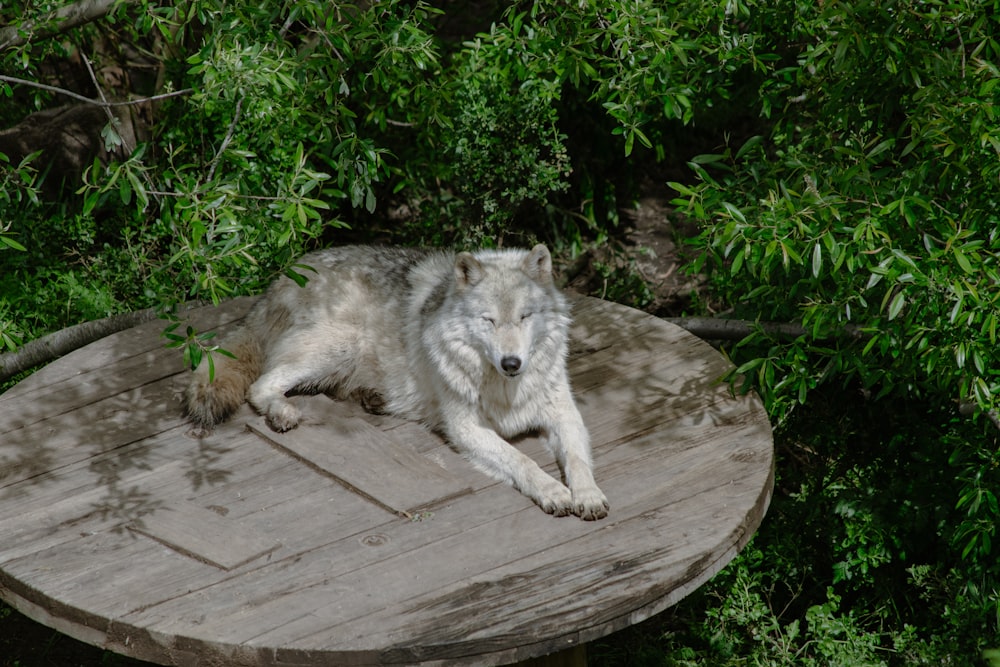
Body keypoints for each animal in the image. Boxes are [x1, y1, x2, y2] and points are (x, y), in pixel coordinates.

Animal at [187, 245, 608, 520]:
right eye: (488, 320)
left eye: (524, 317)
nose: (511, 363)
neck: (504, 388)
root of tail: (280, 278)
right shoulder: (466, 429)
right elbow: (522, 460)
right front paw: (552, 491)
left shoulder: (566, 415)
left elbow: (576, 457)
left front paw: (587, 495)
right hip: (337, 345)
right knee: (261, 384)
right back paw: (282, 413)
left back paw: (371, 398)